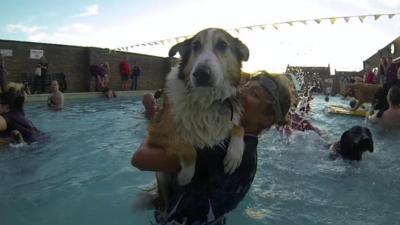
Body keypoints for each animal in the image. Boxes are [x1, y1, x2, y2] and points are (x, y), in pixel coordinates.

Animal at [146, 27, 247, 209]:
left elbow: (239, 127)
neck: (206, 99)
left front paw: (234, 156)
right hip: (161, 177)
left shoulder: (228, 121)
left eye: (222, 45)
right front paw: (185, 176)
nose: (201, 74)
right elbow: (189, 149)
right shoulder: (156, 132)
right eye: (195, 46)